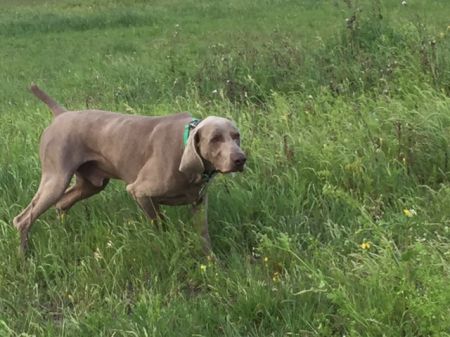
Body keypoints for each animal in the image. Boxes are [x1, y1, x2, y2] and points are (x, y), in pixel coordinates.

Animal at [14, 84, 246, 252]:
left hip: (91, 184)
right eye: (215, 139)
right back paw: (26, 255)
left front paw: (212, 264)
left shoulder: (199, 201)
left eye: (236, 136)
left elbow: (204, 235)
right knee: (22, 219)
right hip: (56, 177)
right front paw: (164, 245)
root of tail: (61, 114)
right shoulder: (139, 191)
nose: (241, 159)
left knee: (62, 204)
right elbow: (160, 224)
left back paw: (66, 234)